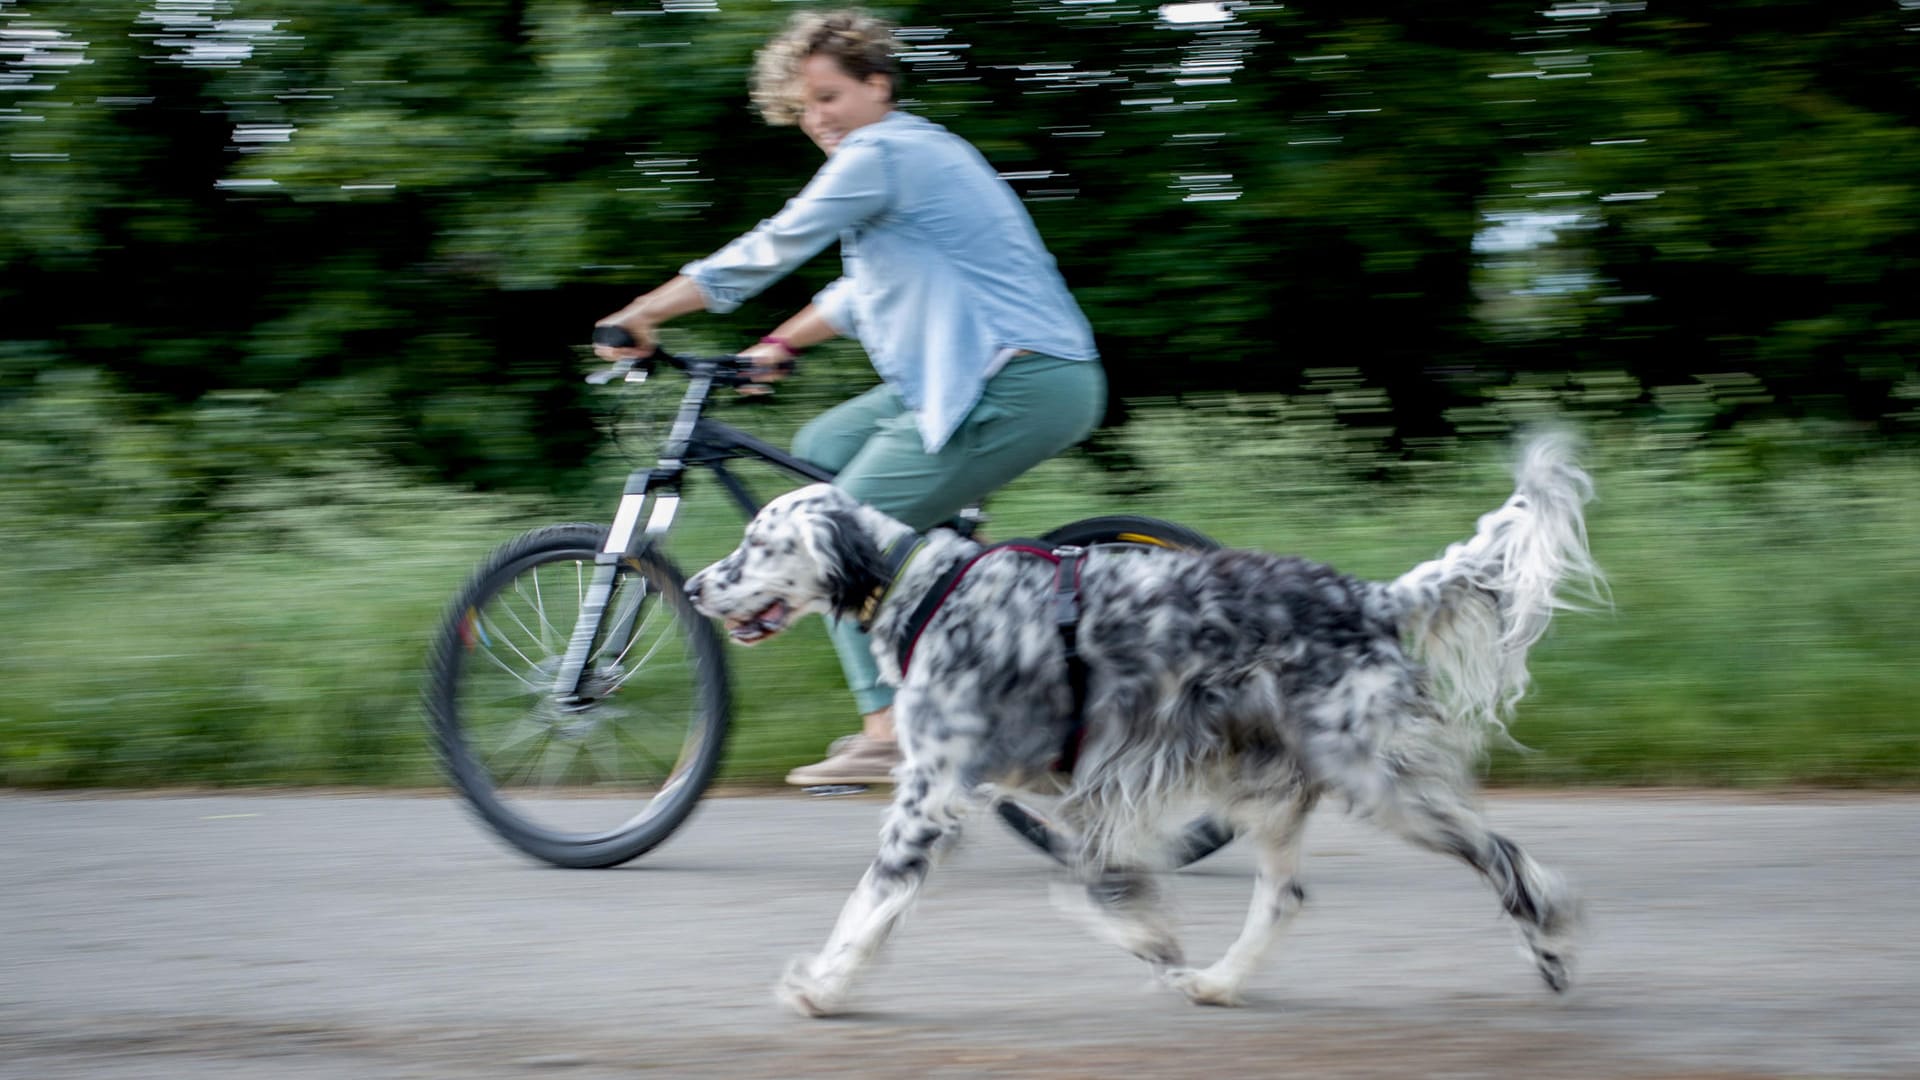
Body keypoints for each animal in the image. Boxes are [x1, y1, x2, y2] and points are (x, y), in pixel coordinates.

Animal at [691, 432, 1605, 1014]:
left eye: (758, 541)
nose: (697, 586)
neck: (924, 589)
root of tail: (1371, 597)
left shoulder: (934, 795)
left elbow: (871, 902)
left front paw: (822, 987)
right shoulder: (1064, 788)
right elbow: (1094, 883)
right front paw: (1152, 939)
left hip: (1375, 780)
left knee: (1503, 856)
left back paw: (1555, 949)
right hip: (1270, 787)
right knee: (1286, 896)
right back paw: (1220, 982)